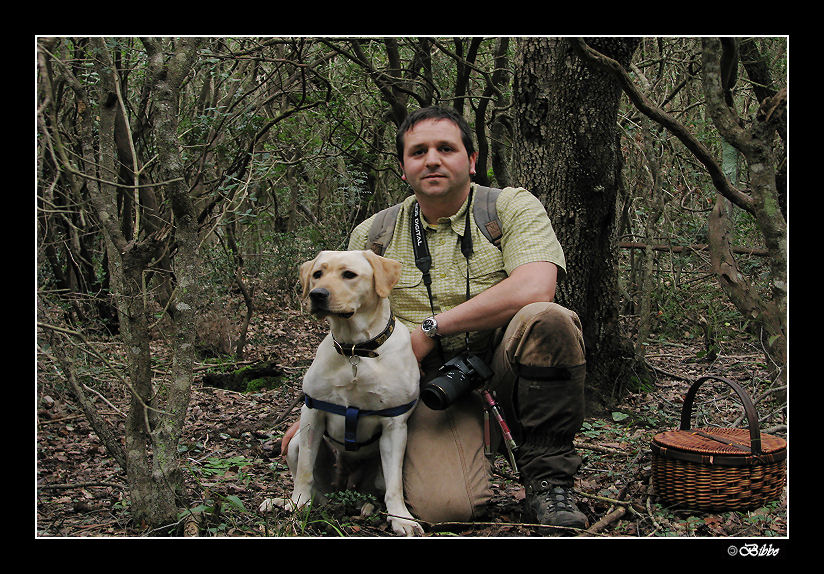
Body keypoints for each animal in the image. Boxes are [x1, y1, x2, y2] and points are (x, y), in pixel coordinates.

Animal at [259, 250, 423, 536]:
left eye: (349, 274)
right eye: (317, 274)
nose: (317, 294)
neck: (356, 350)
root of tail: (345, 486)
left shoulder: (394, 426)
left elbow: (395, 486)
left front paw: (401, 518)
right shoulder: (312, 415)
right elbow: (305, 472)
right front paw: (298, 504)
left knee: (375, 491)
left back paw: (368, 506)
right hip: (296, 445)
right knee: (318, 492)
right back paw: (288, 501)